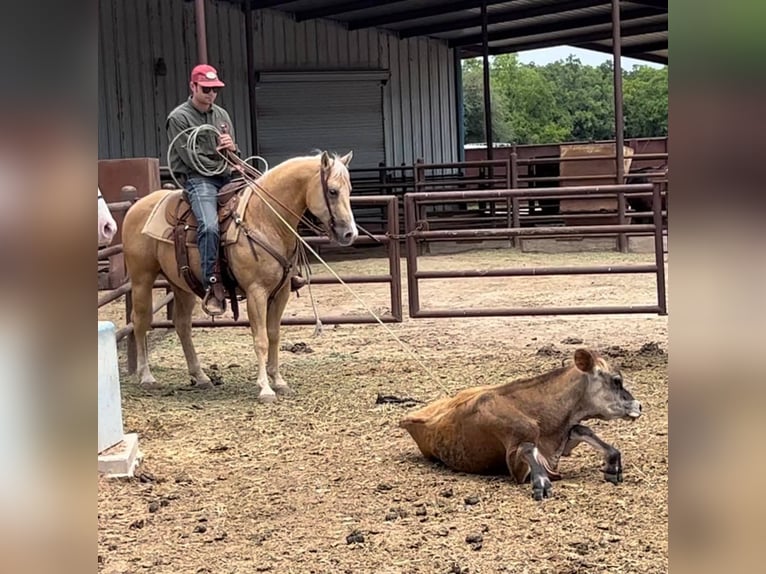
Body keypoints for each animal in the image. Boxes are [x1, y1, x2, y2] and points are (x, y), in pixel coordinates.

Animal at [121, 153, 358, 404]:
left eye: (349, 189)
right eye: (332, 191)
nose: (350, 234)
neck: (265, 219)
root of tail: (136, 206)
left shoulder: (281, 292)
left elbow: (274, 335)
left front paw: (279, 381)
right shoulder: (256, 293)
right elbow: (261, 339)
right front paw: (265, 388)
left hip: (181, 285)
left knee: (182, 325)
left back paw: (201, 377)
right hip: (141, 279)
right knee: (140, 321)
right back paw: (147, 376)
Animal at [400, 348, 644, 502]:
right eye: (616, 380)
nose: (639, 405)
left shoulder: (563, 438)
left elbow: (582, 429)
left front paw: (613, 466)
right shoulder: (517, 462)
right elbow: (527, 448)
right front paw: (541, 483)